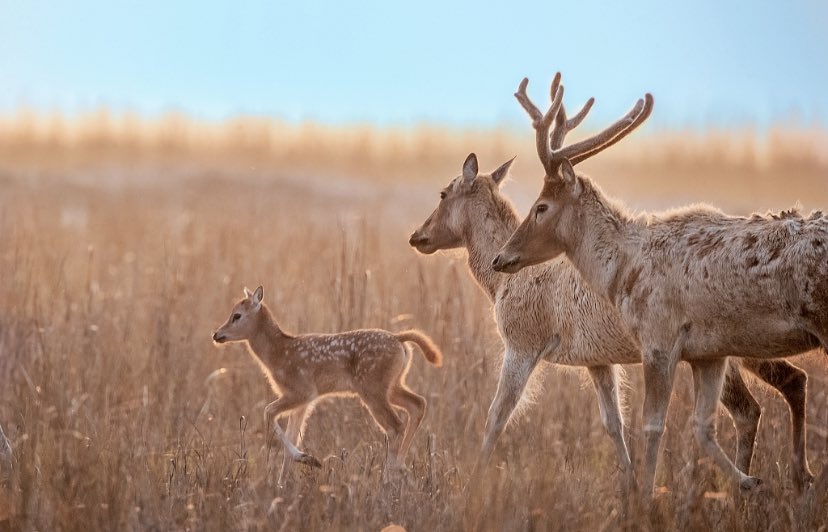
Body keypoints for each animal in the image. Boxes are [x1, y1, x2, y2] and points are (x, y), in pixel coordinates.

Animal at [212, 286, 442, 482]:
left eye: (237, 315)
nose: (216, 334)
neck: (278, 353)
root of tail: (399, 339)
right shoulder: (304, 401)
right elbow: (292, 435)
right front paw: (283, 482)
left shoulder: (301, 391)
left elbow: (268, 412)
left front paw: (307, 459)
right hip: (391, 385)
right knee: (417, 404)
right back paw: (402, 469)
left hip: (372, 388)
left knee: (395, 426)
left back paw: (387, 478)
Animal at [409, 145, 812, 502]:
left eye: (443, 193)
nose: (417, 236)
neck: (500, 283)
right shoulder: (597, 360)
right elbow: (613, 423)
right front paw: (630, 487)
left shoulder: (523, 343)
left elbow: (497, 415)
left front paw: (471, 488)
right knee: (786, 383)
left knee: (755, 403)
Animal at [492, 73, 824, 497]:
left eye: (541, 207)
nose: (502, 257)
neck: (623, 270)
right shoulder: (708, 352)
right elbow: (702, 426)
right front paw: (749, 483)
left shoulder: (658, 338)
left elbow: (652, 424)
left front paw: (645, 497)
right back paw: (797, 477)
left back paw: (801, 474)